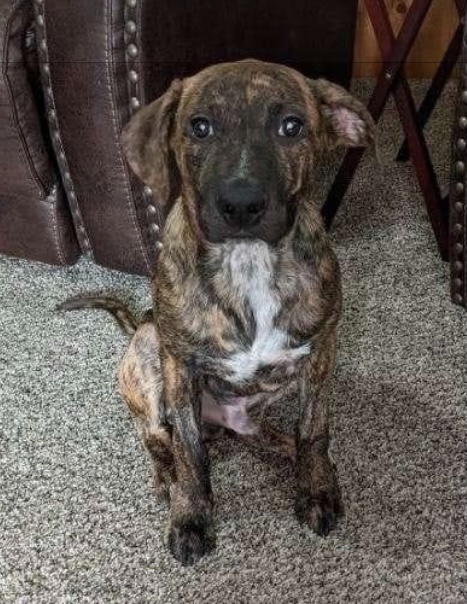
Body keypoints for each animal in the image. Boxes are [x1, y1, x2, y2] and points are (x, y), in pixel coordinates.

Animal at [60, 59, 374, 564]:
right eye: (199, 127)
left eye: (292, 126)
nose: (241, 205)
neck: (247, 262)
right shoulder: (180, 368)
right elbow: (191, 457)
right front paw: (191, 517)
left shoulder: (321, 353)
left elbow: (314, 430)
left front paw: (316, 487)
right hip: (150, 349)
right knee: (157, 435)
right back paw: (166, 475)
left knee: (263, 435)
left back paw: (288, 451)